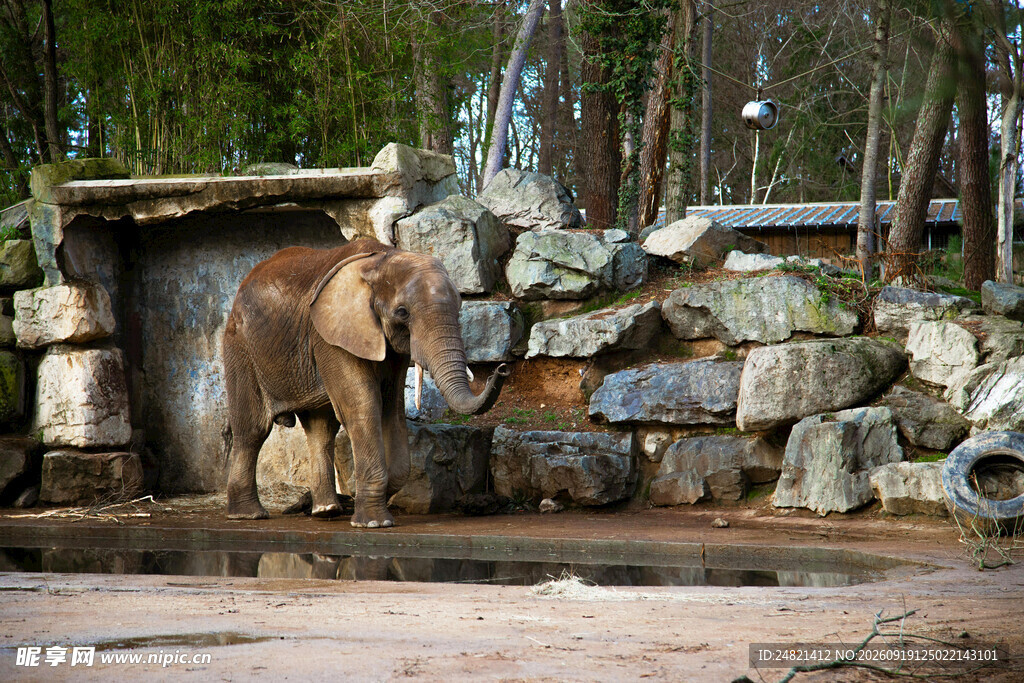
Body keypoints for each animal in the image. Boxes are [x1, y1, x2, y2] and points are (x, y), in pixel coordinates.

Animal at [223, 238, 509, 527]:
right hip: (240, 345)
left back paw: (326, 511)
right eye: (402, 313)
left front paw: (375, 502)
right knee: (253, 429)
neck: (382, 259)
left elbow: (392, 408)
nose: (502, 369)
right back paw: (248, 514)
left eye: (459, 309)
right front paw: (373, 523)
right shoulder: (330, 335)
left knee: (321, 428)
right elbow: (363, 406)